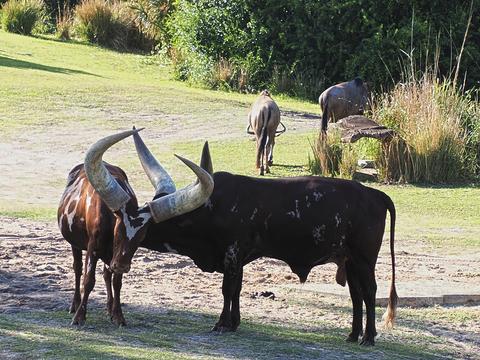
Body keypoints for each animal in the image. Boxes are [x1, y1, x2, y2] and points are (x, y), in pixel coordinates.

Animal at [57, 129, 212, 326]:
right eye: (118, 230)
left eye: (142, 237)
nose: (122, 265)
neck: (110, 219)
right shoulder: (93, 246)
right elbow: (88, 280)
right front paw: (79, 317)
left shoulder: (116, 255)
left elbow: (117, 282)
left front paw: (118, 315)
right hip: (76, 244)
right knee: (77, 269)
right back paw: (75, 305)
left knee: (107, 274)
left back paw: (109, 307)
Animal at [85, 129, 398, 346]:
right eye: (118, 225)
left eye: (142, 231)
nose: (118, 263)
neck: (210, 207)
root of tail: (375, 194)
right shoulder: (239, 259)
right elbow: (236, 290)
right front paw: (234, 323)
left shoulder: (233, 254)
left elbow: (227, 289)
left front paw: (222, 324)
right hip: (350, 259)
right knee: (356, 295)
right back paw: (353, 335)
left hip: (364, 258)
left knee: (370, 292)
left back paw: (369, 338)